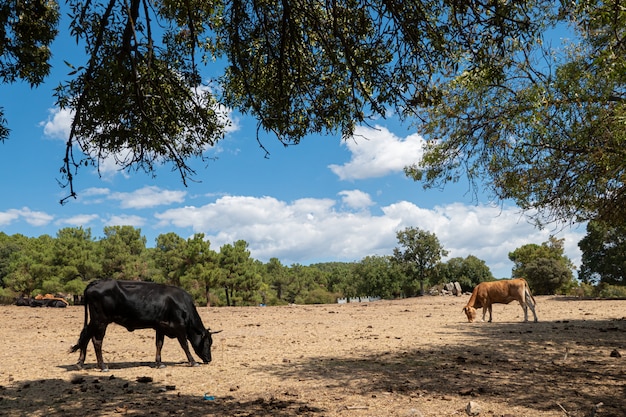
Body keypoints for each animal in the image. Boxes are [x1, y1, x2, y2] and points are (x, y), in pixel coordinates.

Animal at [69, 280, 217, 370]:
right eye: (208, 343)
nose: (209, 359)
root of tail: (96, 282)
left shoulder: (160, 326)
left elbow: (159, 344)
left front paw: (159, 363)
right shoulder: (179, 327)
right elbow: (185, 345)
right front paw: (193, 361)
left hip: (95, 321)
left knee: (85, 336)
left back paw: (80, 363)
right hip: (100, 321)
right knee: (96, 341)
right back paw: (102, 366)